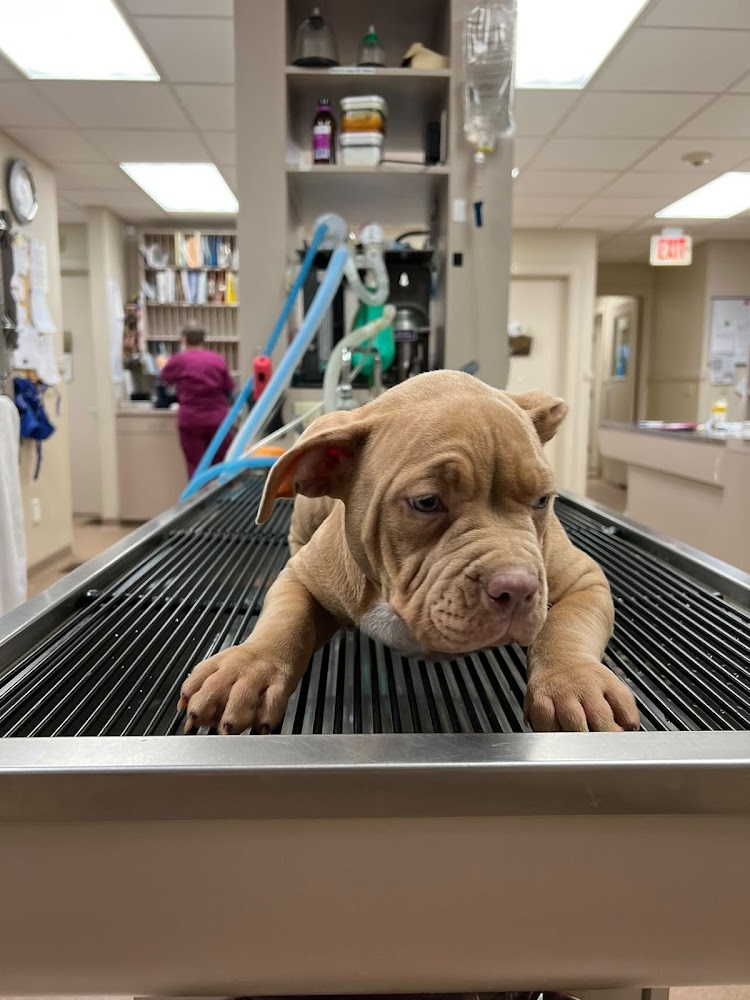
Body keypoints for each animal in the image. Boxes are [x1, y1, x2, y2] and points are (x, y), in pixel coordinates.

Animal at [178, 371, 639, 735]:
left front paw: (574, 683)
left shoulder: (585, 580)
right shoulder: (302, 577)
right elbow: (284, 618)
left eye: (543, 500)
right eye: (426, 502)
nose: (518, 590)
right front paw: (247, 667)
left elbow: (567, 626)